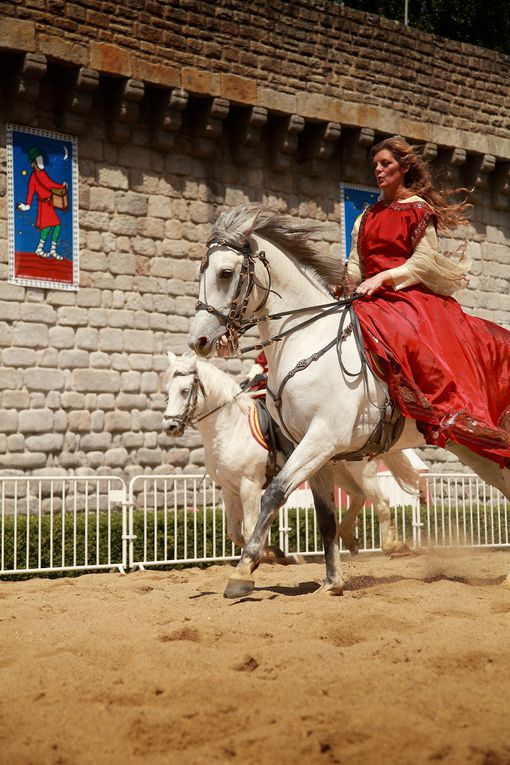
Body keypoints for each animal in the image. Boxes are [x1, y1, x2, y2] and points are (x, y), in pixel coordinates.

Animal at [162, 352, 422, 560]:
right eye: (167, 392)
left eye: (185, 391)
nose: (170, 427)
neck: (230, 427)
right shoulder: (229, 490)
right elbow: (235, 533)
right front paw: (270, 551)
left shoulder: (249, 486)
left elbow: (248, 528)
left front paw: (269, 554)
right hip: (336, 468)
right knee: (358, 496)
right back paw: (349, 537)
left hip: (361, 470)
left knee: (381, 501)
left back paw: (392, 545)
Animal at [188, 204, 510, 596]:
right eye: (202, 271)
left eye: (226, 272)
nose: (200, 341)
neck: (307, 338)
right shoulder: (314, 449)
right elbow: (324, 517)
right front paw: (332, 582)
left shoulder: (322, 439)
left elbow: (274, 494)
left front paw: (243, 572)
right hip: (476, 450)